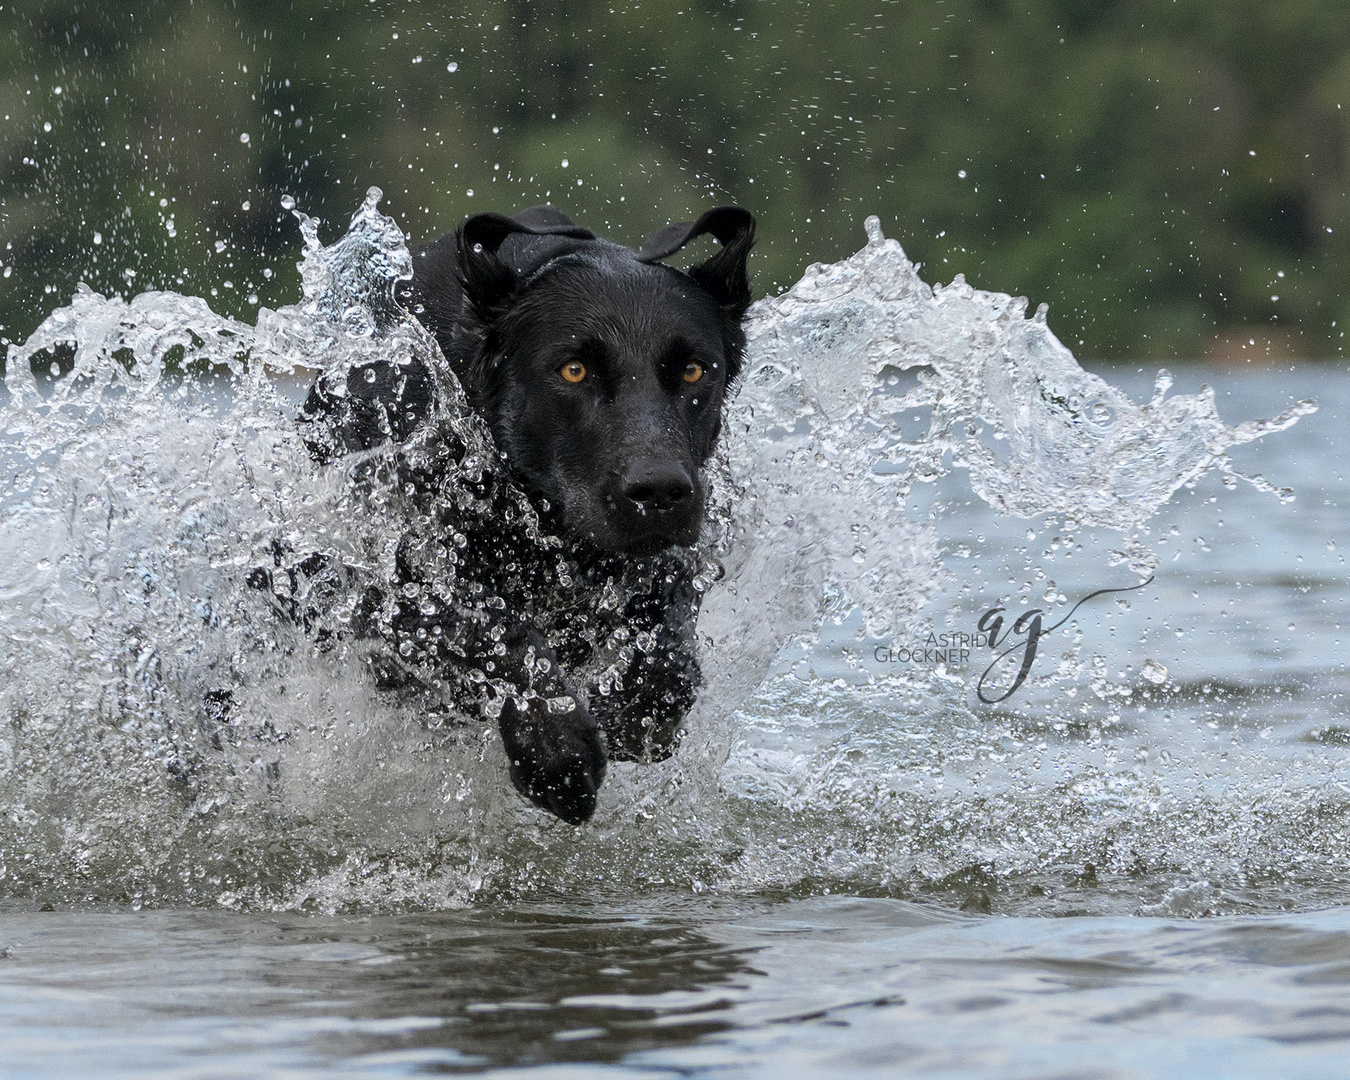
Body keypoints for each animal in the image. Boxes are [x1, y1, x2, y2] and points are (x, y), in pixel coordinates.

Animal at [295, 205, 756, 826]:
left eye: (693, 372)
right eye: (573, 371)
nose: (658, 493)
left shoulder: (675, 558)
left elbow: (670, 656)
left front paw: (632, 705)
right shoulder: (382, 584)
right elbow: (490, 628)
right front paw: (554, 747)